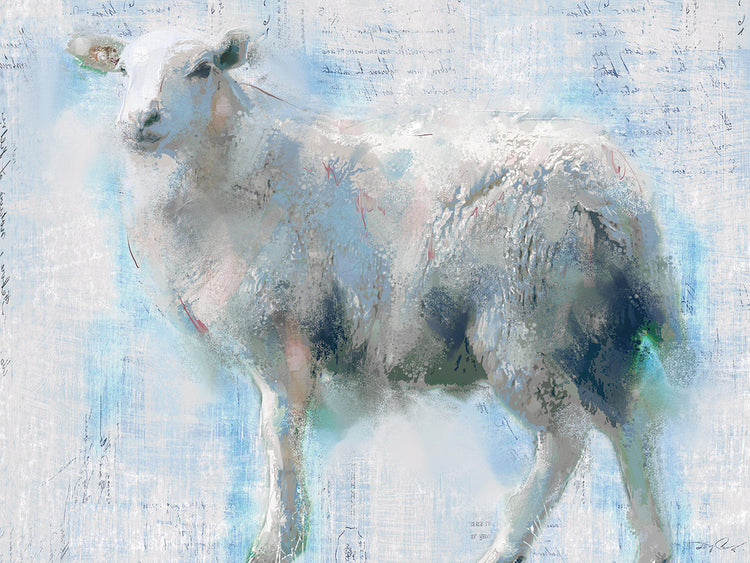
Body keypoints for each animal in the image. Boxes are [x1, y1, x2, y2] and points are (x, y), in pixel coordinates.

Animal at [68, 29, 690, 563]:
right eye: (122, 69)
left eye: (202, 68)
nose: (140, 121)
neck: (232, 172)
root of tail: (614, 192)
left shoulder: (281, 328)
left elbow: (277, 432)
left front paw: (277, 541)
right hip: (596, 323)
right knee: (629, 422)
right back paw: (653, 545)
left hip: (523, 316)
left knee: (565, 436)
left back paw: (504, 545)